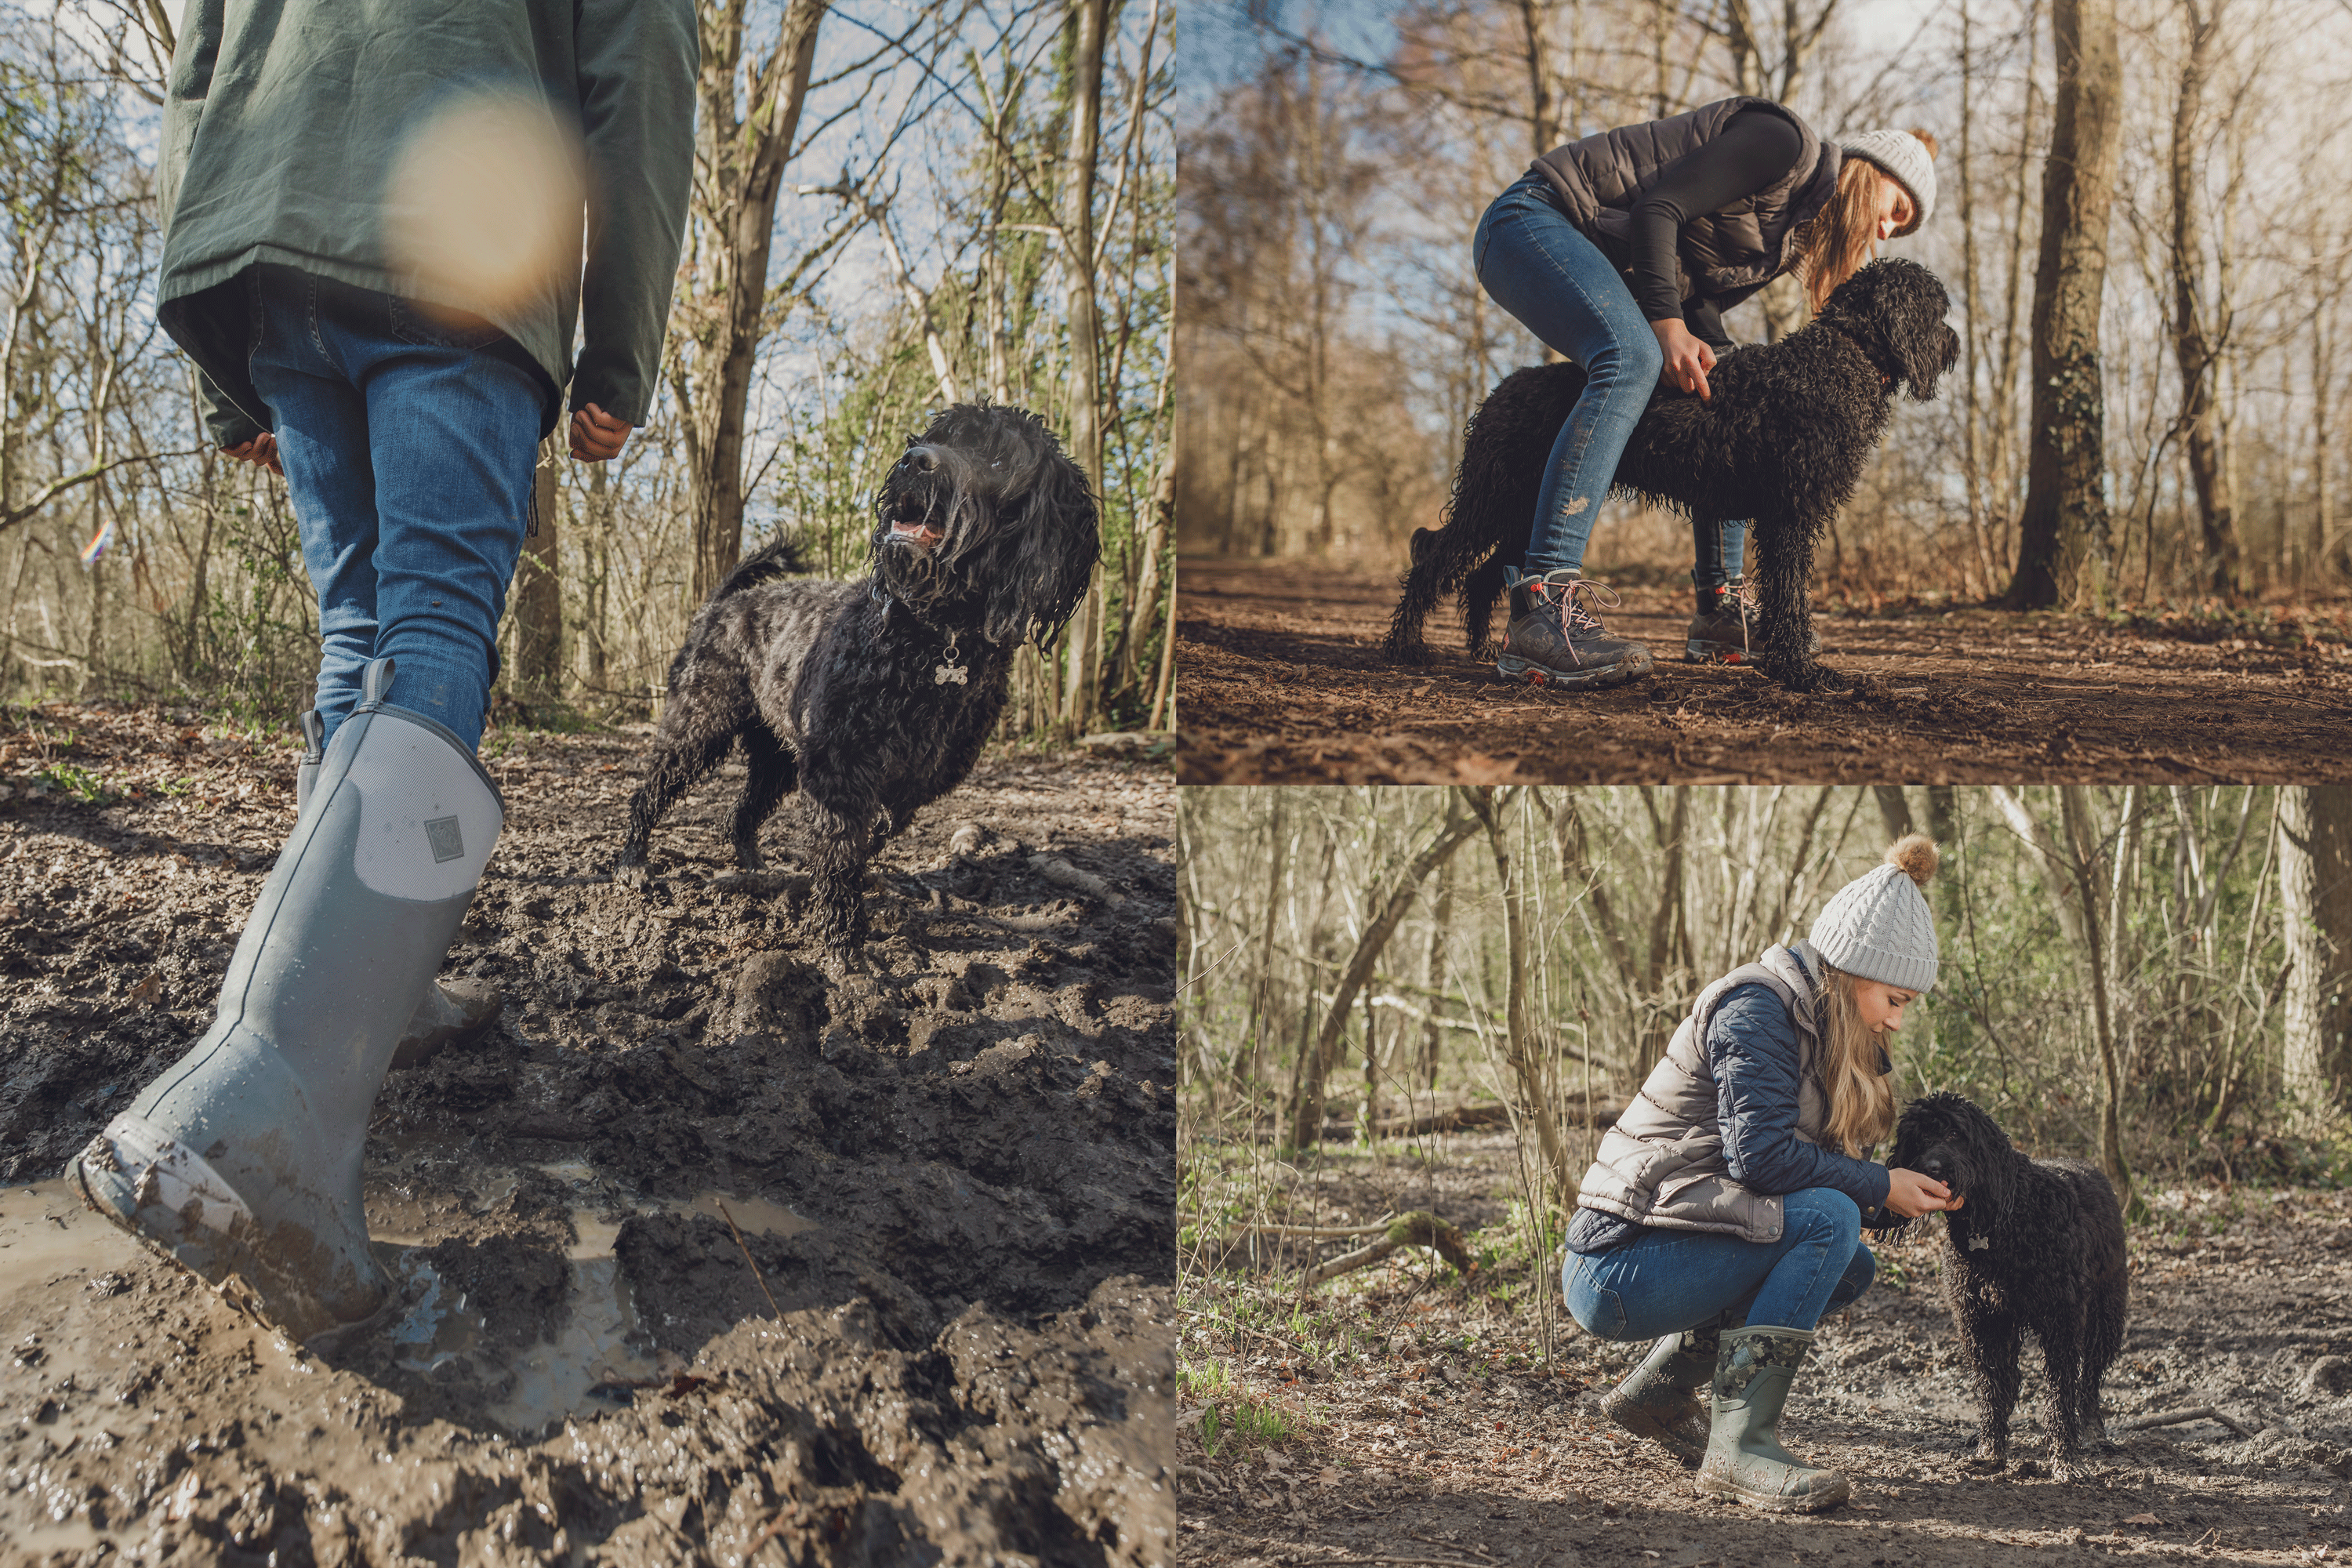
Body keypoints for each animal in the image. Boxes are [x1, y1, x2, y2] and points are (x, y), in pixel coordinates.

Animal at [626, 404, 1101, 964]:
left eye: (999, 455)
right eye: (937, 435)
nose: (915, 460)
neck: (934, 640)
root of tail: (722, 603)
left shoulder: (913, 783)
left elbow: (867, 838)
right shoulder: (838, 768)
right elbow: (839, 852)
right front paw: (842, 941)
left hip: (775, 758)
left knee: (739, 816)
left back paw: (755, 870)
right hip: (698, 726)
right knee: (648, 794)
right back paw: (634, 862)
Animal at [1383, 260, 1957, 691]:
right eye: (1939, 308)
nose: (1954, 343)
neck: (1842, 355)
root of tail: (1503, 388)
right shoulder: (1789, 516)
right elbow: (1791, 597)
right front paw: (1800, 670)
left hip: (1523, 509)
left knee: (1485, 575)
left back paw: (1484, 648)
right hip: (1493, 499)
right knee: (1434, 560)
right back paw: (1406, 645)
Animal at [1872, 1091, 2136, 1486]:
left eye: (1955, 1133)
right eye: (1918, 1139)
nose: (1932, 1167)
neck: (1998, 1228)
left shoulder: (2062, 1320)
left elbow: (2062, 1393)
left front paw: (2065, 1457)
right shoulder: (1980, 1321)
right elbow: (1994, 1388)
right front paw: (1991, 1449)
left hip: (2105, 1316)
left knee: (2089, 1382)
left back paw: (2092, 1431)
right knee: (2011, 1382)